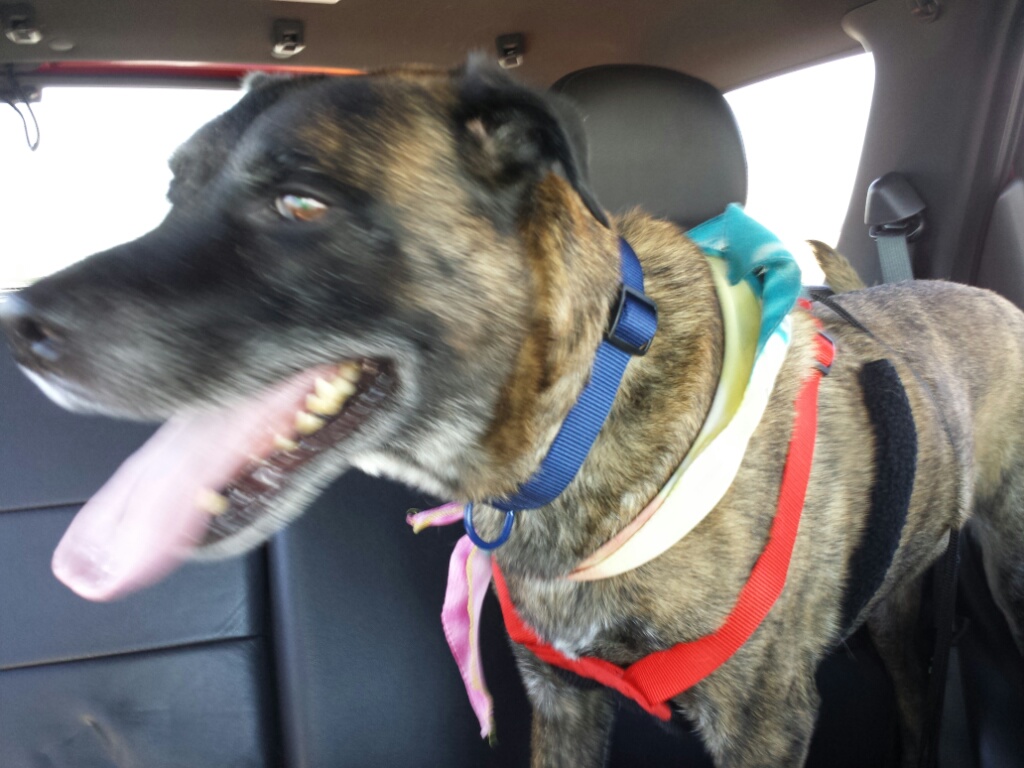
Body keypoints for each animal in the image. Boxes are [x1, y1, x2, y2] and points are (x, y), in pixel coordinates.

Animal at [3, 59, 1024, 768]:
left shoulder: (762, 722)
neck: (583, 420)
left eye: (300, 203)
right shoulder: (562, 698)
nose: (18, 324)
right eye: (175, 193)